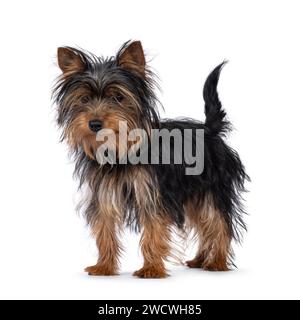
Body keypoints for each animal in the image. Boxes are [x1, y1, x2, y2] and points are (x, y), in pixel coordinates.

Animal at [52, 41, 247, 278]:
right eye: (84, 99)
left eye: (118, 97)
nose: (95, 123)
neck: (120, 149)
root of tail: (209, 130)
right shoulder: (104, 193)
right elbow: (105, 229)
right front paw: (104, 266)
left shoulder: (152, 194)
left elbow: (154, 230)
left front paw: (151, 269)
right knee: (203, 225)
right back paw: (200, 259)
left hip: (212, 188)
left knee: (217, 223)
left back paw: (217, 261)